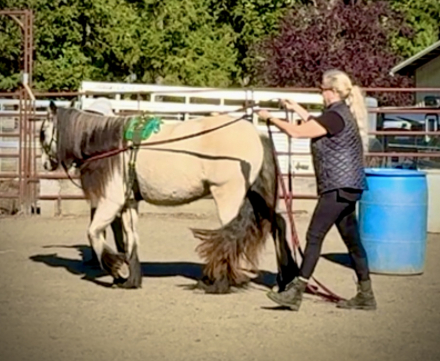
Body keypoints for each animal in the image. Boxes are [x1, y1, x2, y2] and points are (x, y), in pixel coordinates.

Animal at [39, 101, 300, 292]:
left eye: (42, 132)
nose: (44, 164)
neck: (114, 146)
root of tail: (258, 135)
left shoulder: (111, 202)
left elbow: (93, 233)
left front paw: (116, 269)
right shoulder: (128, 204)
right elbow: (131, 239)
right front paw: (130, 280)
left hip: (229, 196)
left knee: (229, 235)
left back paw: (218, 284)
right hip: (256, 197)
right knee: (277, 224)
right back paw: (284, 279)